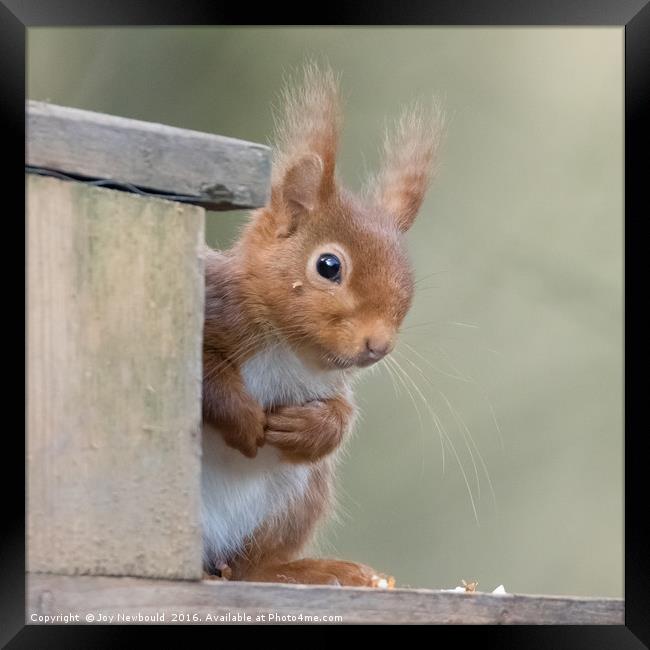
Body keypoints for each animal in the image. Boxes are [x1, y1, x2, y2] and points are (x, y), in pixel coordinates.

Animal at [201, 63, 440, 584]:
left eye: (409, 279)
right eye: (328, 266)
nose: (379, 345)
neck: (289, 349)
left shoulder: (331, 383)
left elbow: (342, 416)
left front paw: (309, 427)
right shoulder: (211, 308)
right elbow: (206, 375)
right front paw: (246, 416)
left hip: (296, 502)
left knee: (252, 565)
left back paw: (303, 571)